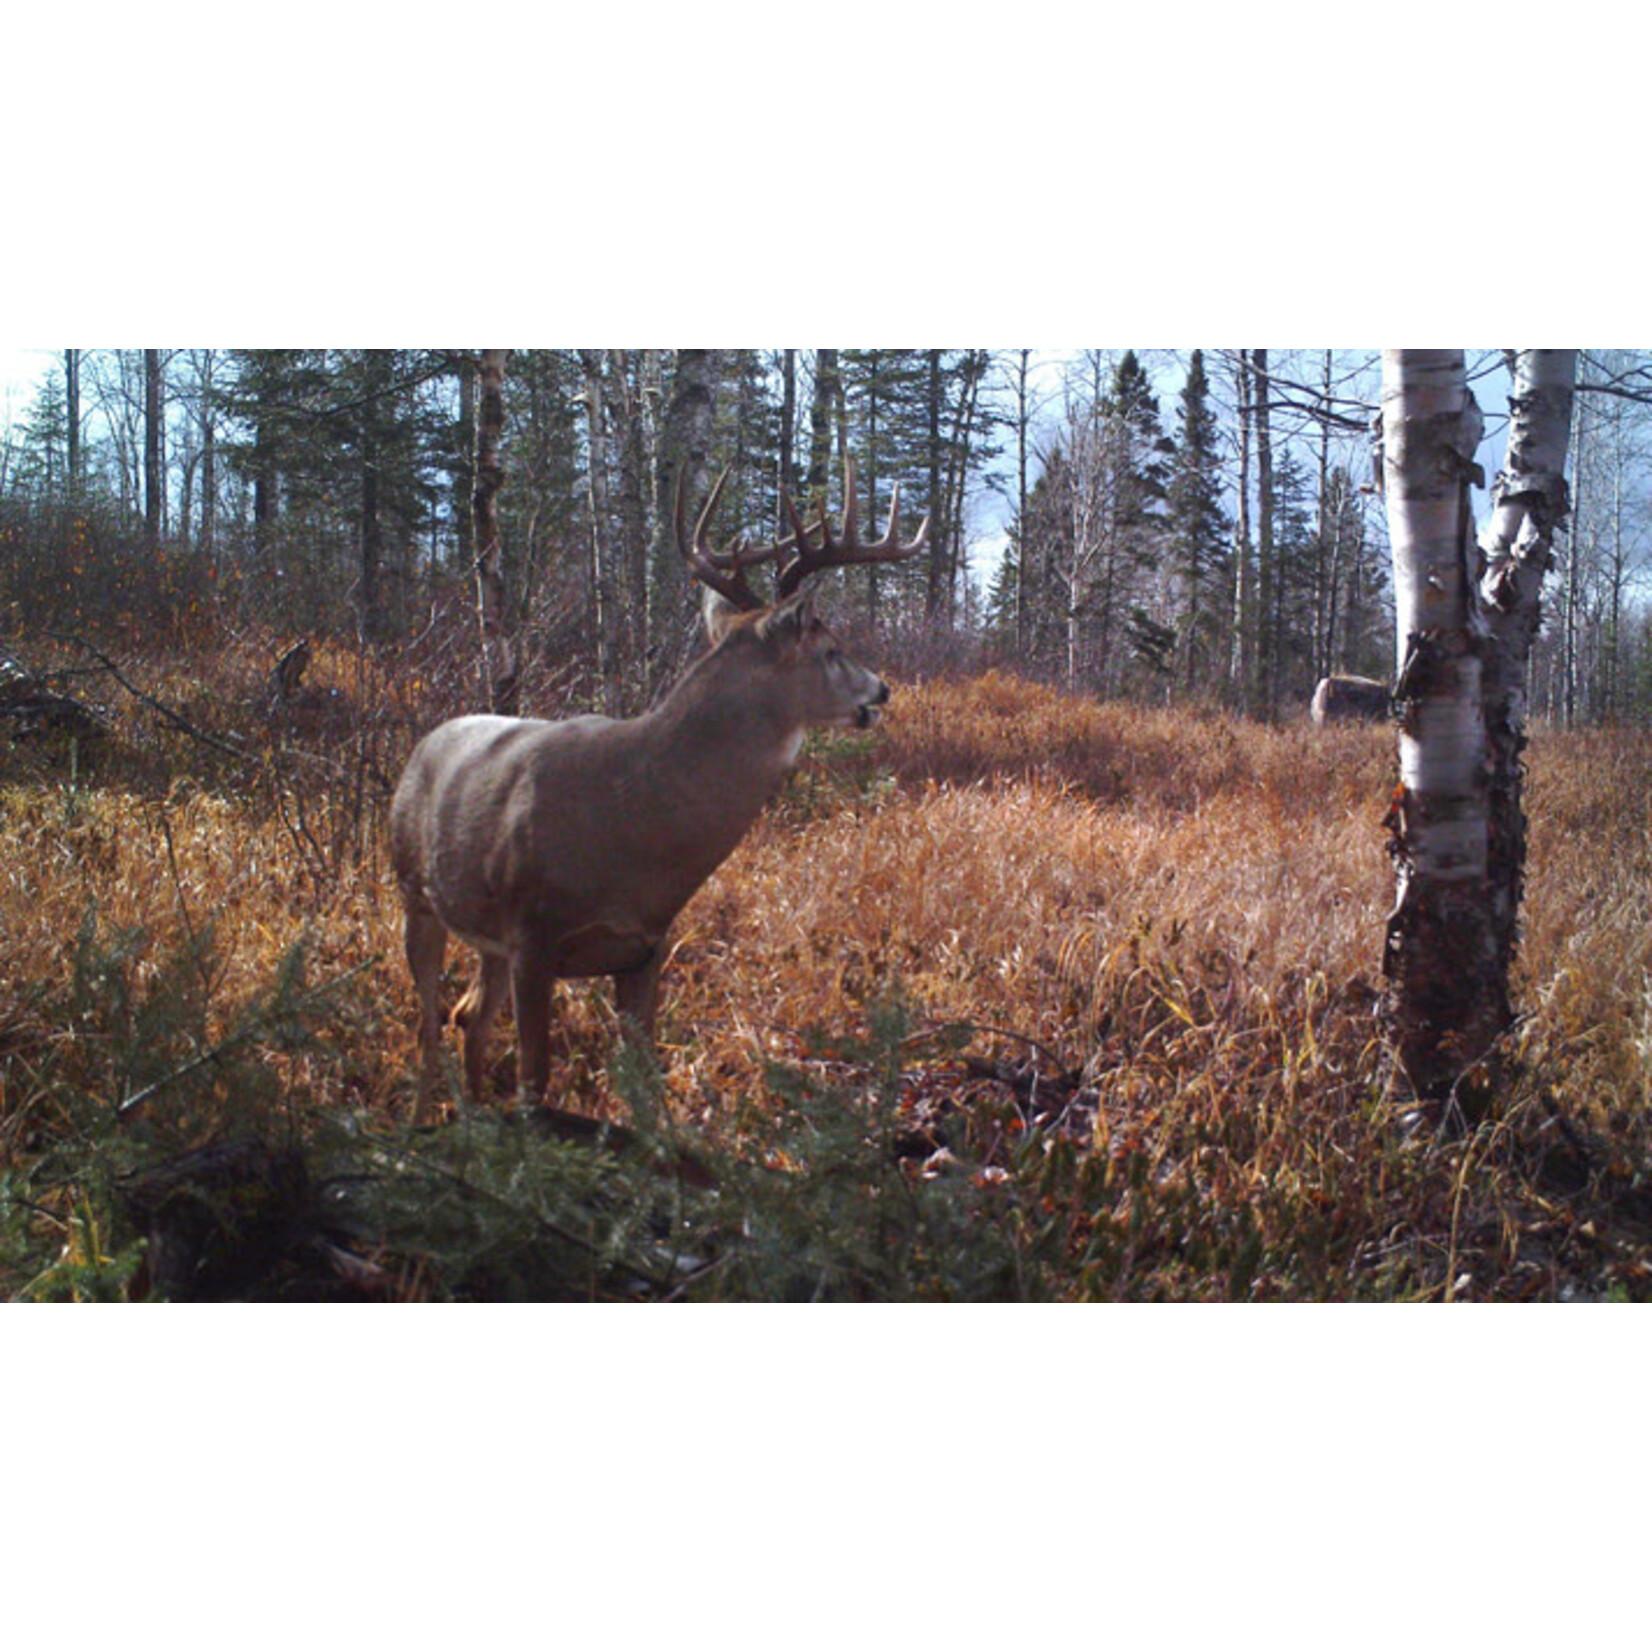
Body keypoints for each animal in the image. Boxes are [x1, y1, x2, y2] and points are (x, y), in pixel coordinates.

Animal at [390, 457, 927, 1125]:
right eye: (831, 650)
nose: (880, 690)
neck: (636, 819)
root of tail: (424, 742)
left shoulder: (645, 948)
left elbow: (646, 1088)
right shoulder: (534, 938)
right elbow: (535, 1083)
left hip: (485, 934)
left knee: (466, 1017)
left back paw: (471, 1120)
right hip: (413, 892)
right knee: (428, 1020)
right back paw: (424, 1121)